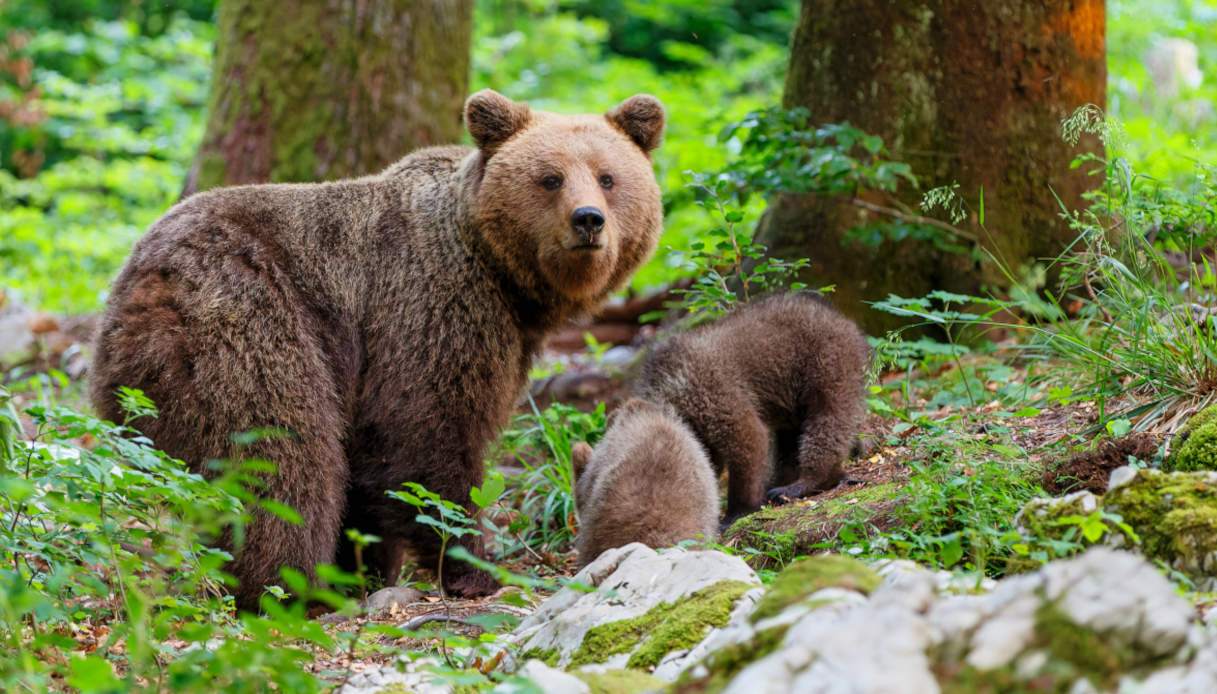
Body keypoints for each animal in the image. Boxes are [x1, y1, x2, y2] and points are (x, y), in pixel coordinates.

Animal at [88, 90, 666, 603]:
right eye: (550, 178)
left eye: (608, 177)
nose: (588, 219)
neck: (503, 278)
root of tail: (138, 281)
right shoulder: (431, 305)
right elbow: (424, 439)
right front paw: (472, 568)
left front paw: (366, 567)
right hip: (246, 321)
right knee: (280, 457)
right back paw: (288, 584)